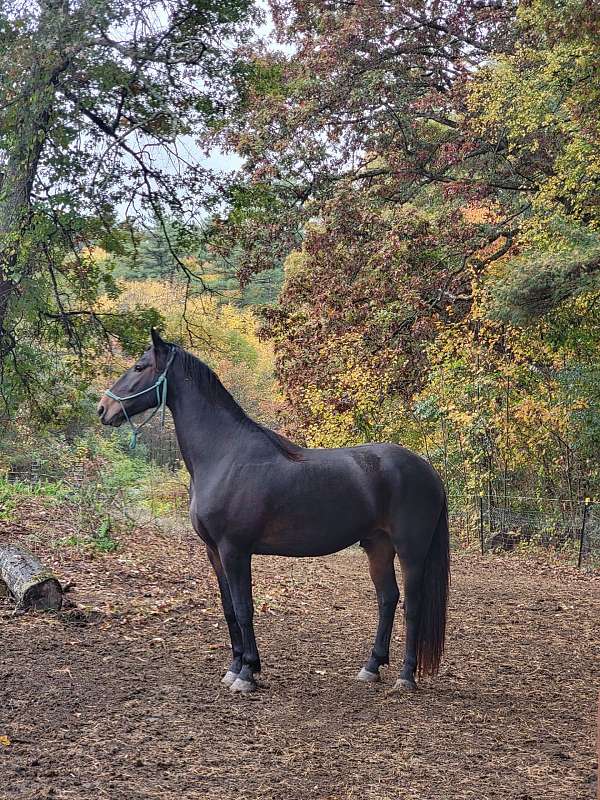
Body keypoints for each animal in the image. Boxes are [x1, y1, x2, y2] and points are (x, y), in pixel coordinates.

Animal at [98, 330, 448, 692]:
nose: (103, 409)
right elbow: (228, 609)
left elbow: (244, 608)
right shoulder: (214, 551)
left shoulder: (234, 550)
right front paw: (234, 667)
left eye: (139, 367)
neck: (224, 454)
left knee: (412, 605)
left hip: (410, 550)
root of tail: (427, 469)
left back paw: (406, 677)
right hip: (377, 545)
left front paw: (247, 673)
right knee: (388, 598)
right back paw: (372, 666)